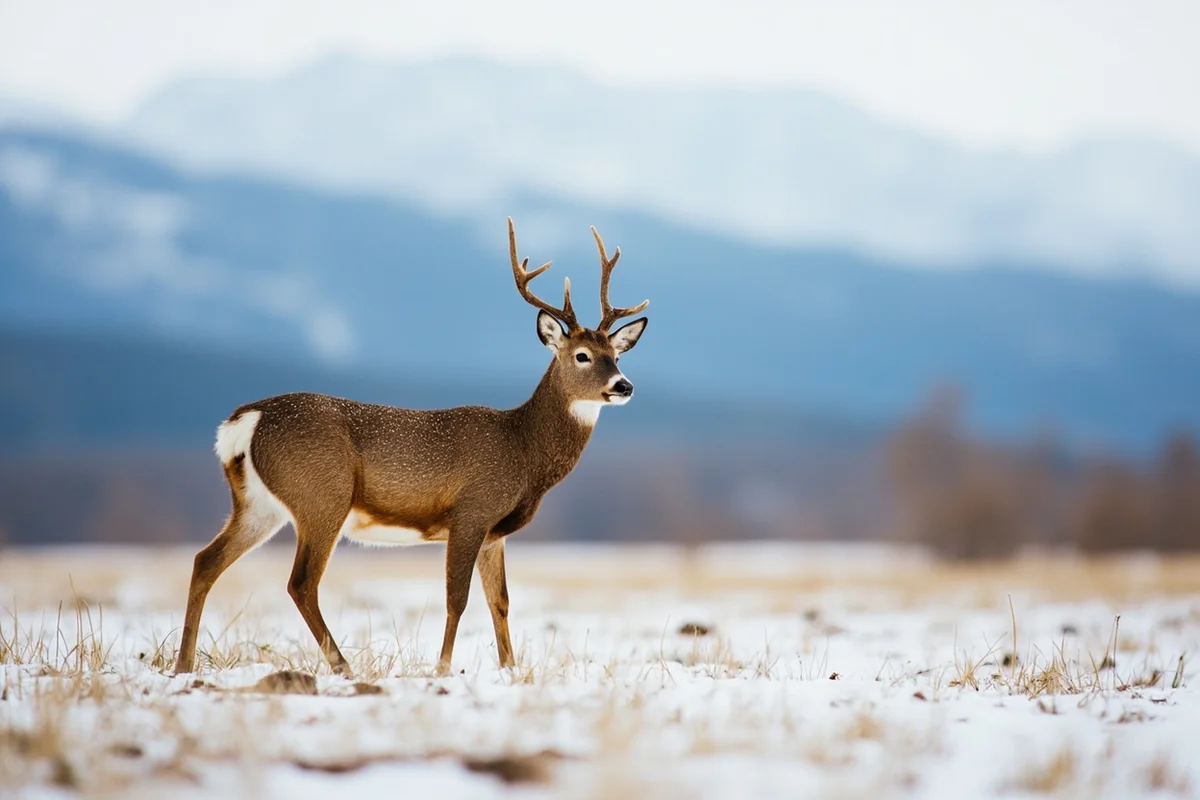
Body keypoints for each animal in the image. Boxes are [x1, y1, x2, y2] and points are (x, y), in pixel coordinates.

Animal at [174, 218, 649, 677]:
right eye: (582, 355)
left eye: (617, 355)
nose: (623, 386)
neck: (523, 449)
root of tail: (245, 421)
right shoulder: (471, 511)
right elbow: (457, 597)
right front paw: (443, 667)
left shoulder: (494, 532)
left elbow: (500, 601)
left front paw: (510, 669)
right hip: (322, 495)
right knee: (301, 582)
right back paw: (343, 666)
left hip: (258, 505)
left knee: (205, 561)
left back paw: (183, 665)